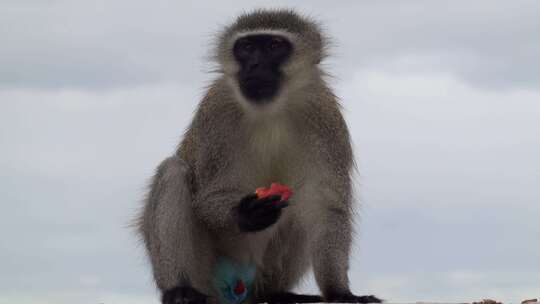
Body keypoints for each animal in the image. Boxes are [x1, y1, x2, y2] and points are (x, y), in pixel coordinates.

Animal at [137, 8, 382, 304]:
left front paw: (339, 291)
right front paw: (245, 213)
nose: (254, 65)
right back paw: (180, 289)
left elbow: (324, 205)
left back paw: (277, 293)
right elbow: (207, 196)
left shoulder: (324, 117)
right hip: (209, 271)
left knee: (302, 203)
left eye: (274, 46)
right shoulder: (215, 113)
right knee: (173, 171)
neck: (269, 110)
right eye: (247, 47)